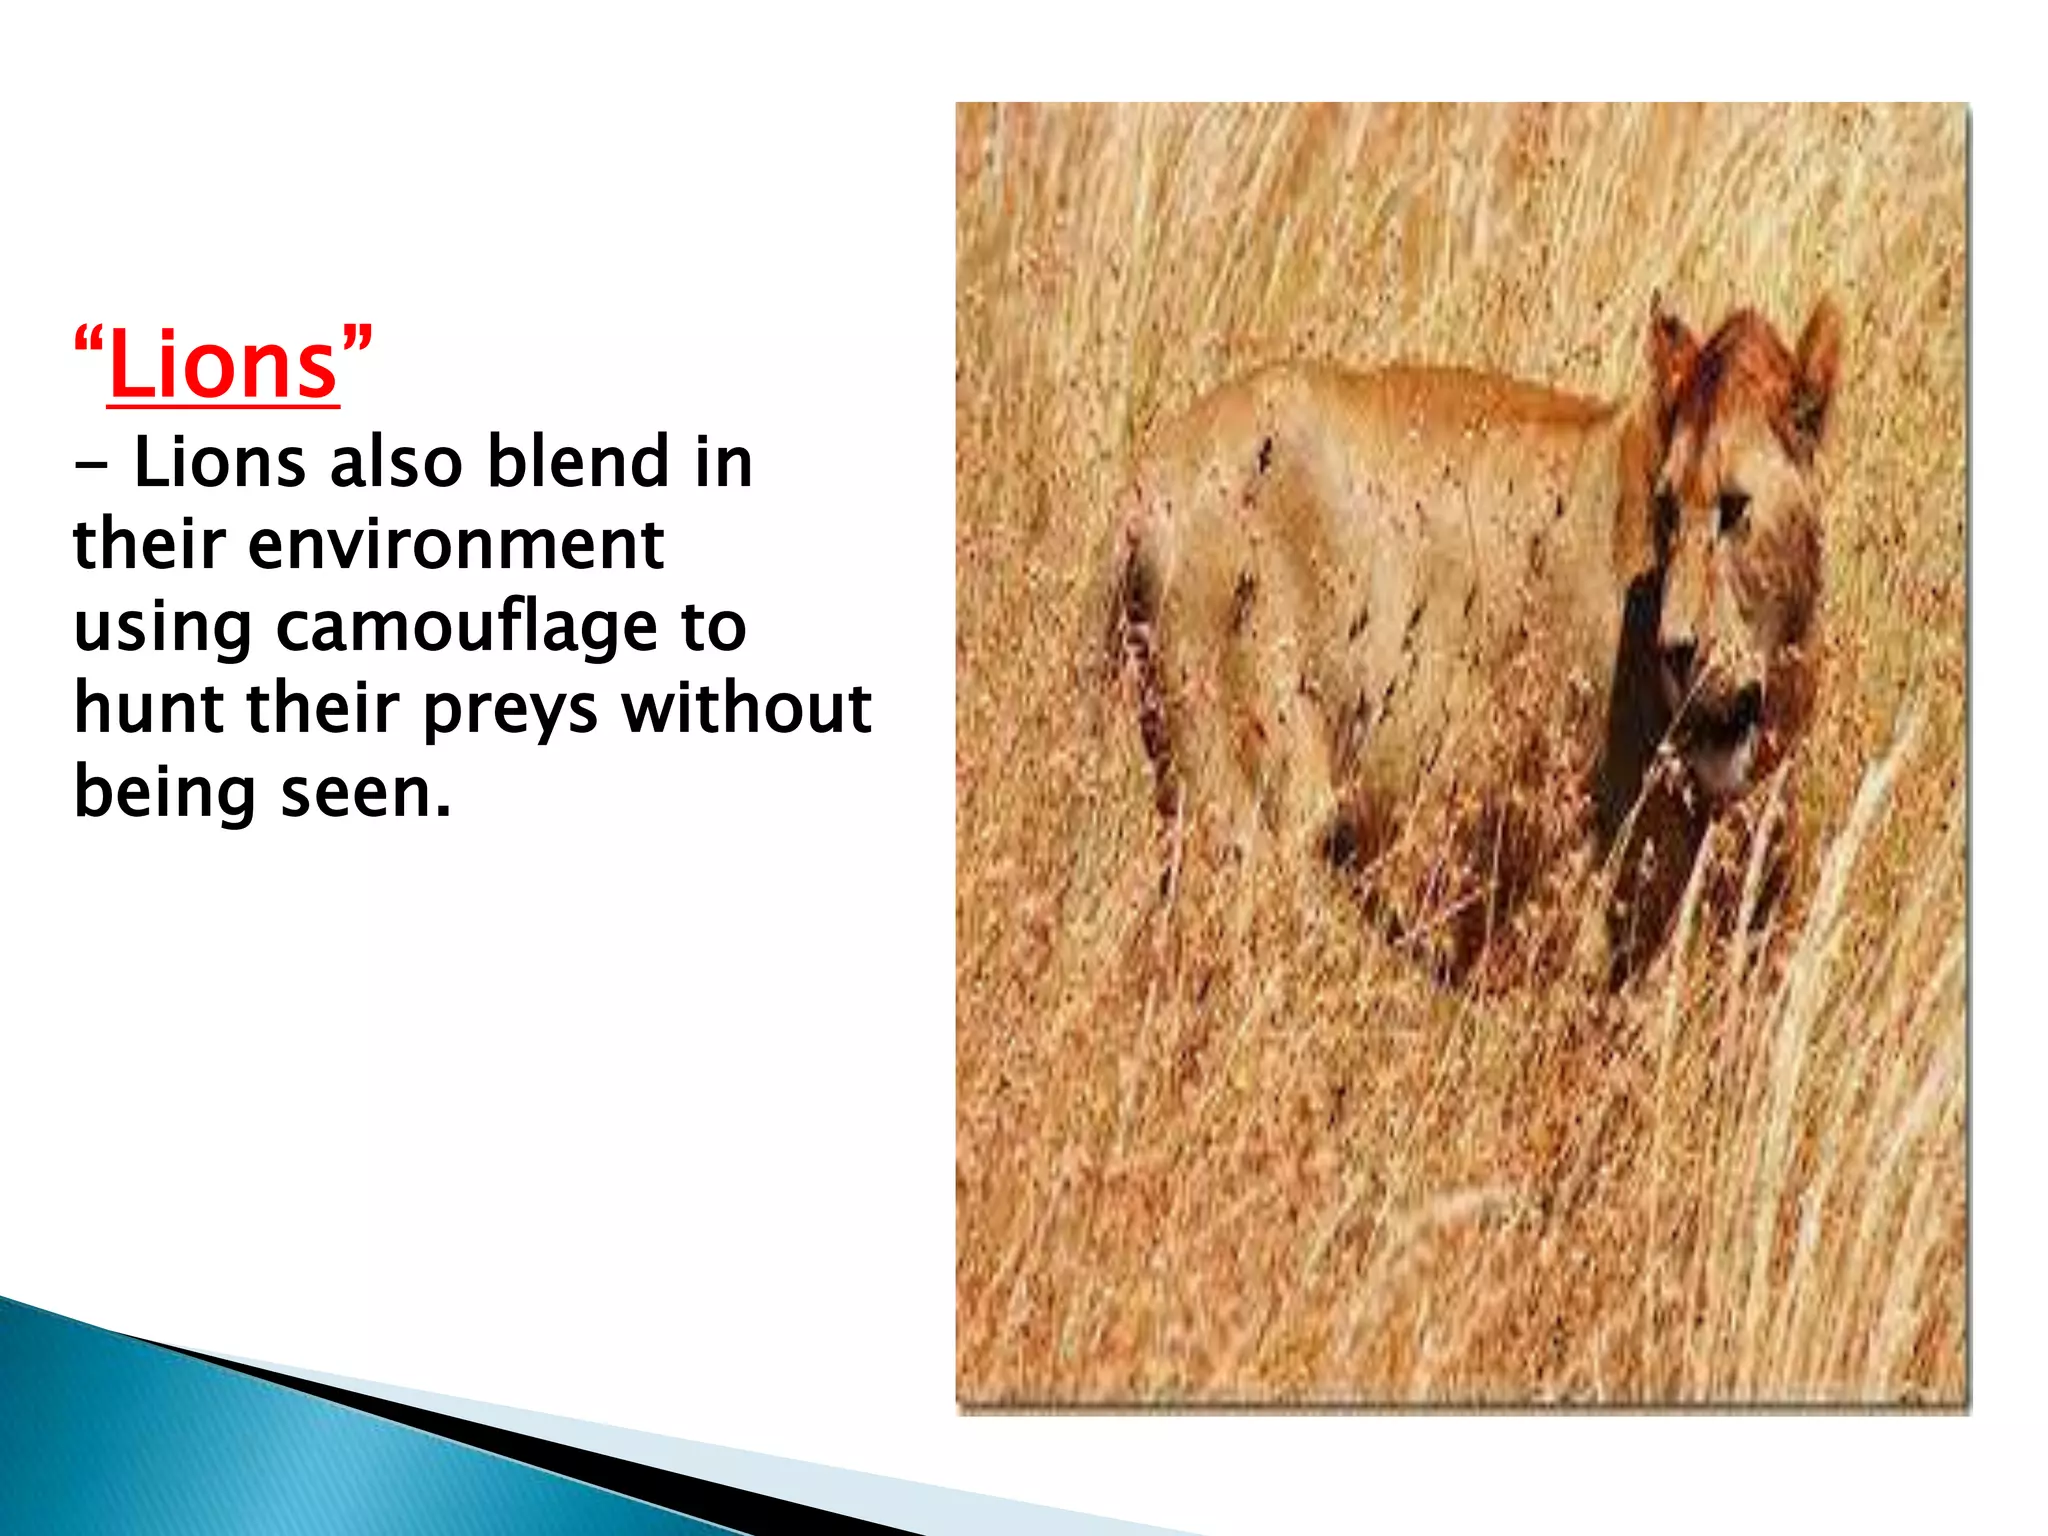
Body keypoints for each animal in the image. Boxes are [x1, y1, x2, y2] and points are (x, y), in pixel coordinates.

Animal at [1115, 297, 1840, 982]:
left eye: (1736, 508)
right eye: (1665, 509)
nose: (1677, 650)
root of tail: (1147, 476)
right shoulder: (1591, 916)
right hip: (1238, 820)